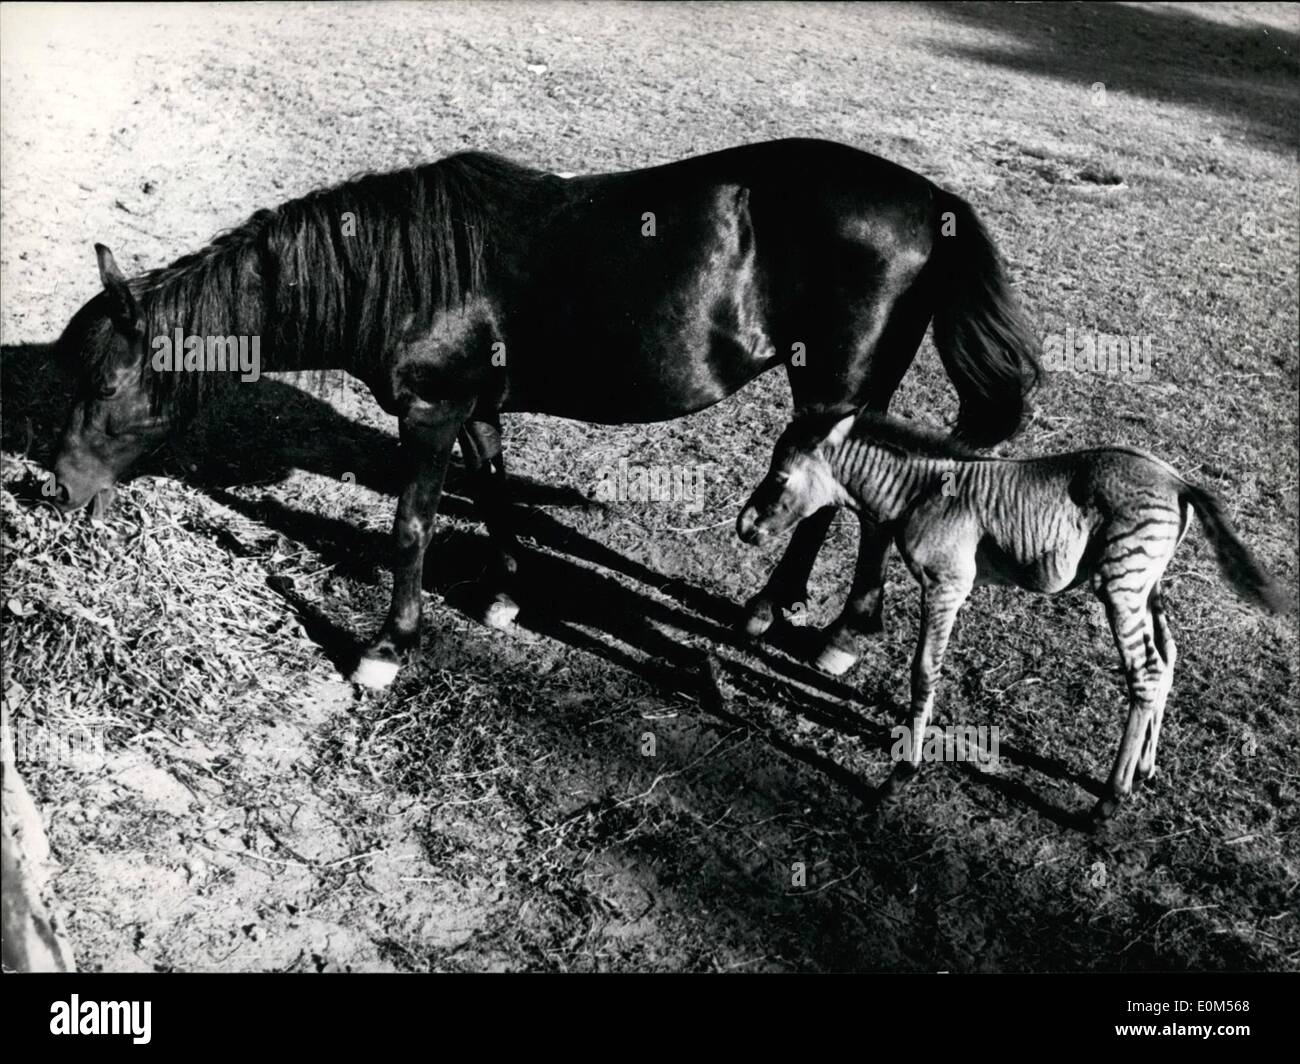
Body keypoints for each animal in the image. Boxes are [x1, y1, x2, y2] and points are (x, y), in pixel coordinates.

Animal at [50, 139, 1040, 686]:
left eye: (104, 387)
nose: (58, 488)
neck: (409, 274)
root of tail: (933, 203)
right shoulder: (474, 410)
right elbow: (493, 496)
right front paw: (503, 597)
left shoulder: (429, 414)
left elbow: (410, 528)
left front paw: (387, 648)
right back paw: (791, 616)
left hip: (836, 389)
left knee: (857, 502)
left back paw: (824, 633)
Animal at [733, 413, 1289, 822]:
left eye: (779, 478)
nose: (743, 528)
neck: (920, 492)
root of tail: (1177, 481)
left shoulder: (947, 586)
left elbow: (924, 672)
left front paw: (900, 775)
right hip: (1146, 585)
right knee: (1168, 658)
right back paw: (1143, 770)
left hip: (1122, 584)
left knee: (1146, 672)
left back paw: (1108, 801)